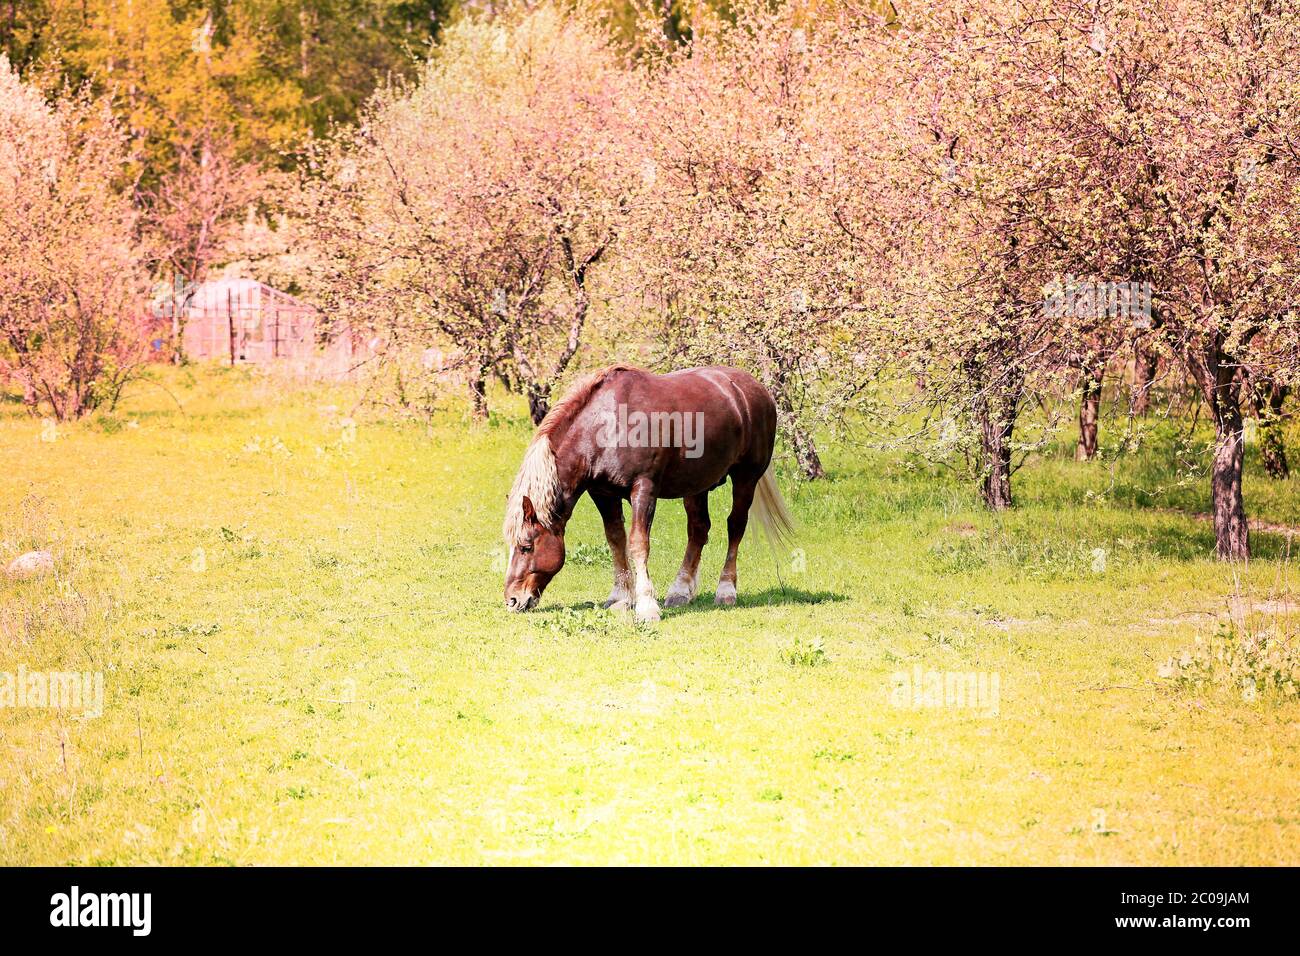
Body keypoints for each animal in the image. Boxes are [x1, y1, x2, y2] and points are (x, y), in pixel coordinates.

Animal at [504, 364, 790, 621]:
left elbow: (638, 544)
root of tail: (754, 389)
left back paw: (726, 590)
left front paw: (646, 606)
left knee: (735, 527)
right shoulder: (603, 494)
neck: (606, 425)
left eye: (526, 546)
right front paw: (620, 598)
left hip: (745, 478)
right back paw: (680, 591)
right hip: (696, 486)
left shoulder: (643, 490)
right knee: (698, 530)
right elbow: (616, 540)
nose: (512, 600)